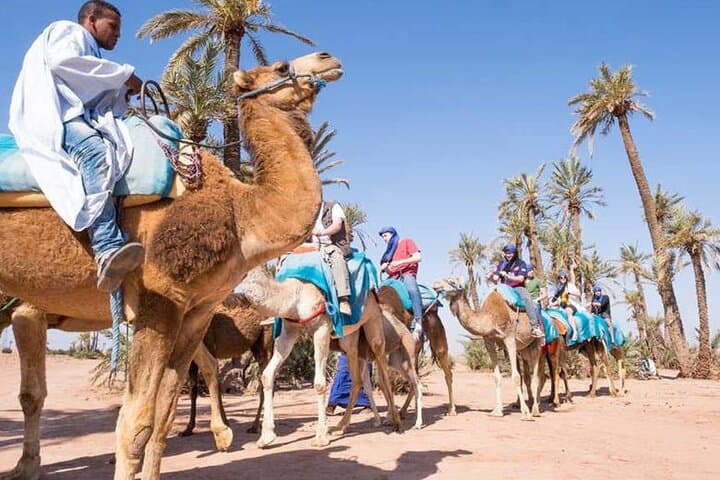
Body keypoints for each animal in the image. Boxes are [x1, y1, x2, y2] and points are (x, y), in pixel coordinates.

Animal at [180, 292, 274, 448]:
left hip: (265, 342)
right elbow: (193, 390)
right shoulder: (192, 358)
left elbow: (214, 383)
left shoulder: (210, 346)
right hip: (256, 345)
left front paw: (224, 425)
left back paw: (256, 427)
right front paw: (188, 429)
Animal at [238, 265, 404, 448]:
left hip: (373, 321)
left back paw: (396, 422)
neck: (295, 294)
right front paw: (266, 437)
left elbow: (319, 383)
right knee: (357, 378)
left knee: (383, 369)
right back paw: (341, 427)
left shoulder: (321, 328)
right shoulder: (290, 329)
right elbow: (267, 375)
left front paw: (320, 437)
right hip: (350, 339)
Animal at [433, 277, 542, 419]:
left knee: (536, 375)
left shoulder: (509, 338)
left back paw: (535, 410)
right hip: (524, 348)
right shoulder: (488, 340)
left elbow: (516, 377)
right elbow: (497, 377)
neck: (489, 318)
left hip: (537, 343)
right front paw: (497, 411)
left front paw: (525, 412)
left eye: (452, 281)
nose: (436, 284)